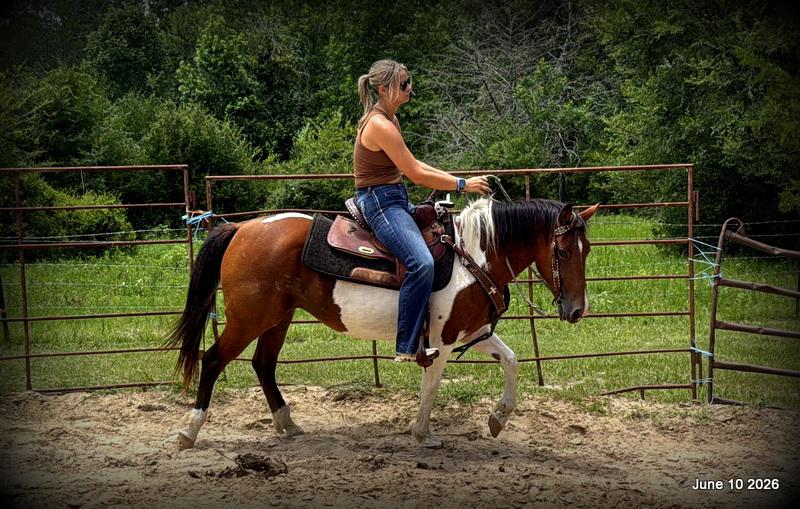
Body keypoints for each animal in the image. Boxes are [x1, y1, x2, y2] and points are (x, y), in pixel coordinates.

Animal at [167, 198, 598, 448]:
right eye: (562, 250)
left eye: (588, 249)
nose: (577, 310)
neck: (472, 256)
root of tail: (242, 227)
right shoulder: (441, 340)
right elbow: (431, 386)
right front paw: (422, 433)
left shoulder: (472, 332)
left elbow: (511, 361)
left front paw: (497, 419)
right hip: (250, 317)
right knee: (213, 359)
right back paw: (189, 431)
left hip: (278, 318)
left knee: (263, 364)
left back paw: (288, 425)